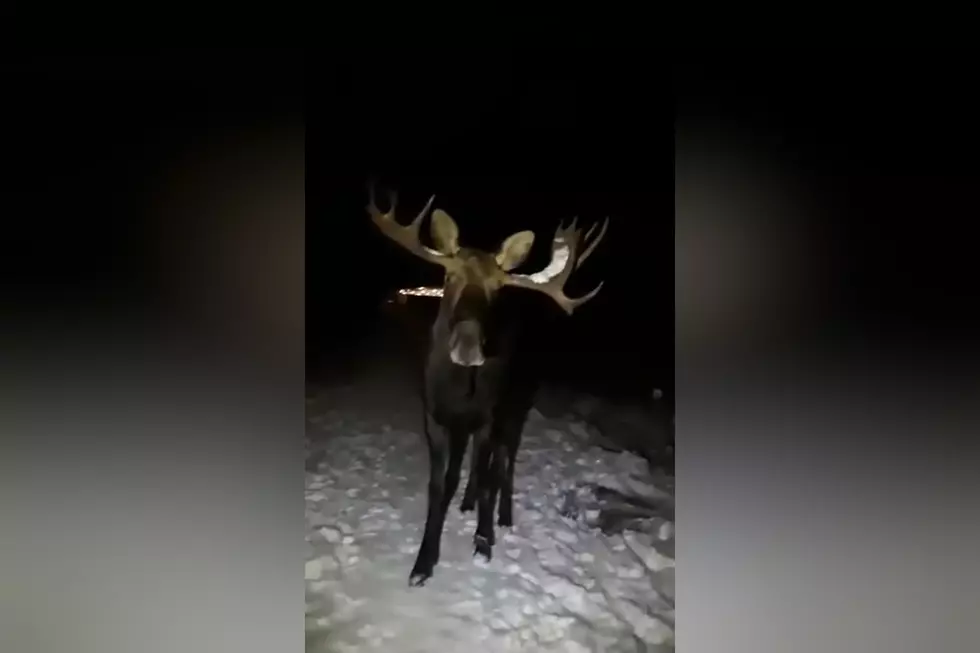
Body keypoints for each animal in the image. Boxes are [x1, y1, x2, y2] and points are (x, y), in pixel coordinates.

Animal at [370, 183, 604, 584]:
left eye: (496, 288)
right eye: (448, 277)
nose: (468, 346)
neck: (461, 391)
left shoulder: (489, 416)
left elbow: (487, 478)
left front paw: (482, 541)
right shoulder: (435, 416)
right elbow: (440, 484)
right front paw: (423, 562)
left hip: (517, 405)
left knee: (503, 462)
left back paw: (503, 515)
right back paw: (466, 502)